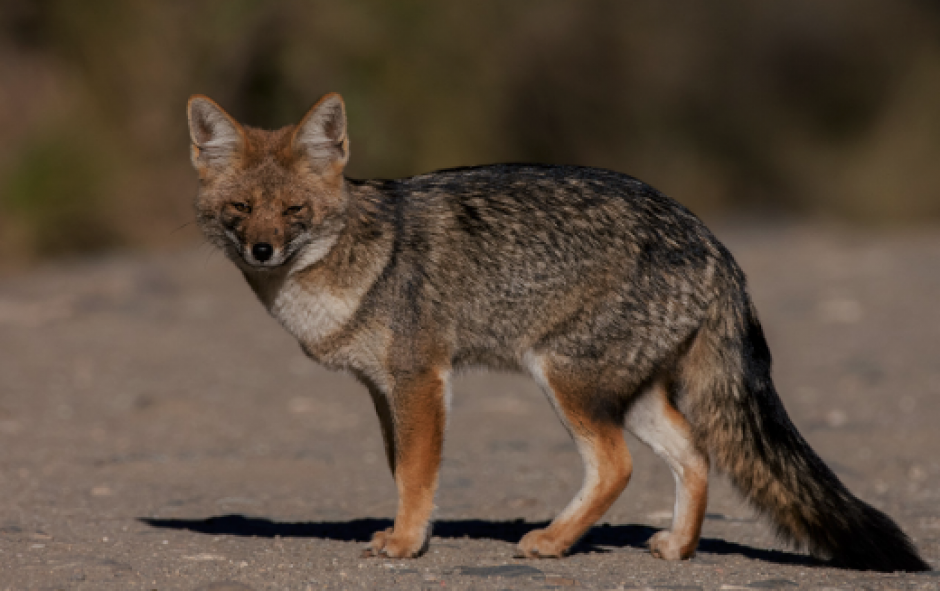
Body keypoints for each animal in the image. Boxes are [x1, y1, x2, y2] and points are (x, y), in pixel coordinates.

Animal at [185, 92, 930, 572]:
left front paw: (405, 542)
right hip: (628, 393)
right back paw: (677, 546)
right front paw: (408, 530)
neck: (351, 259)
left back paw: (552, 540)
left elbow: (418, 472)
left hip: (565, 379)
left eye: (295, 211)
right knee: (693, 452)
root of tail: (713, 242)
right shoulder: (382, 388)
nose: (262, 250)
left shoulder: (421, 378)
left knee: (617, 464)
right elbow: (402, 469)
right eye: (240, 209)